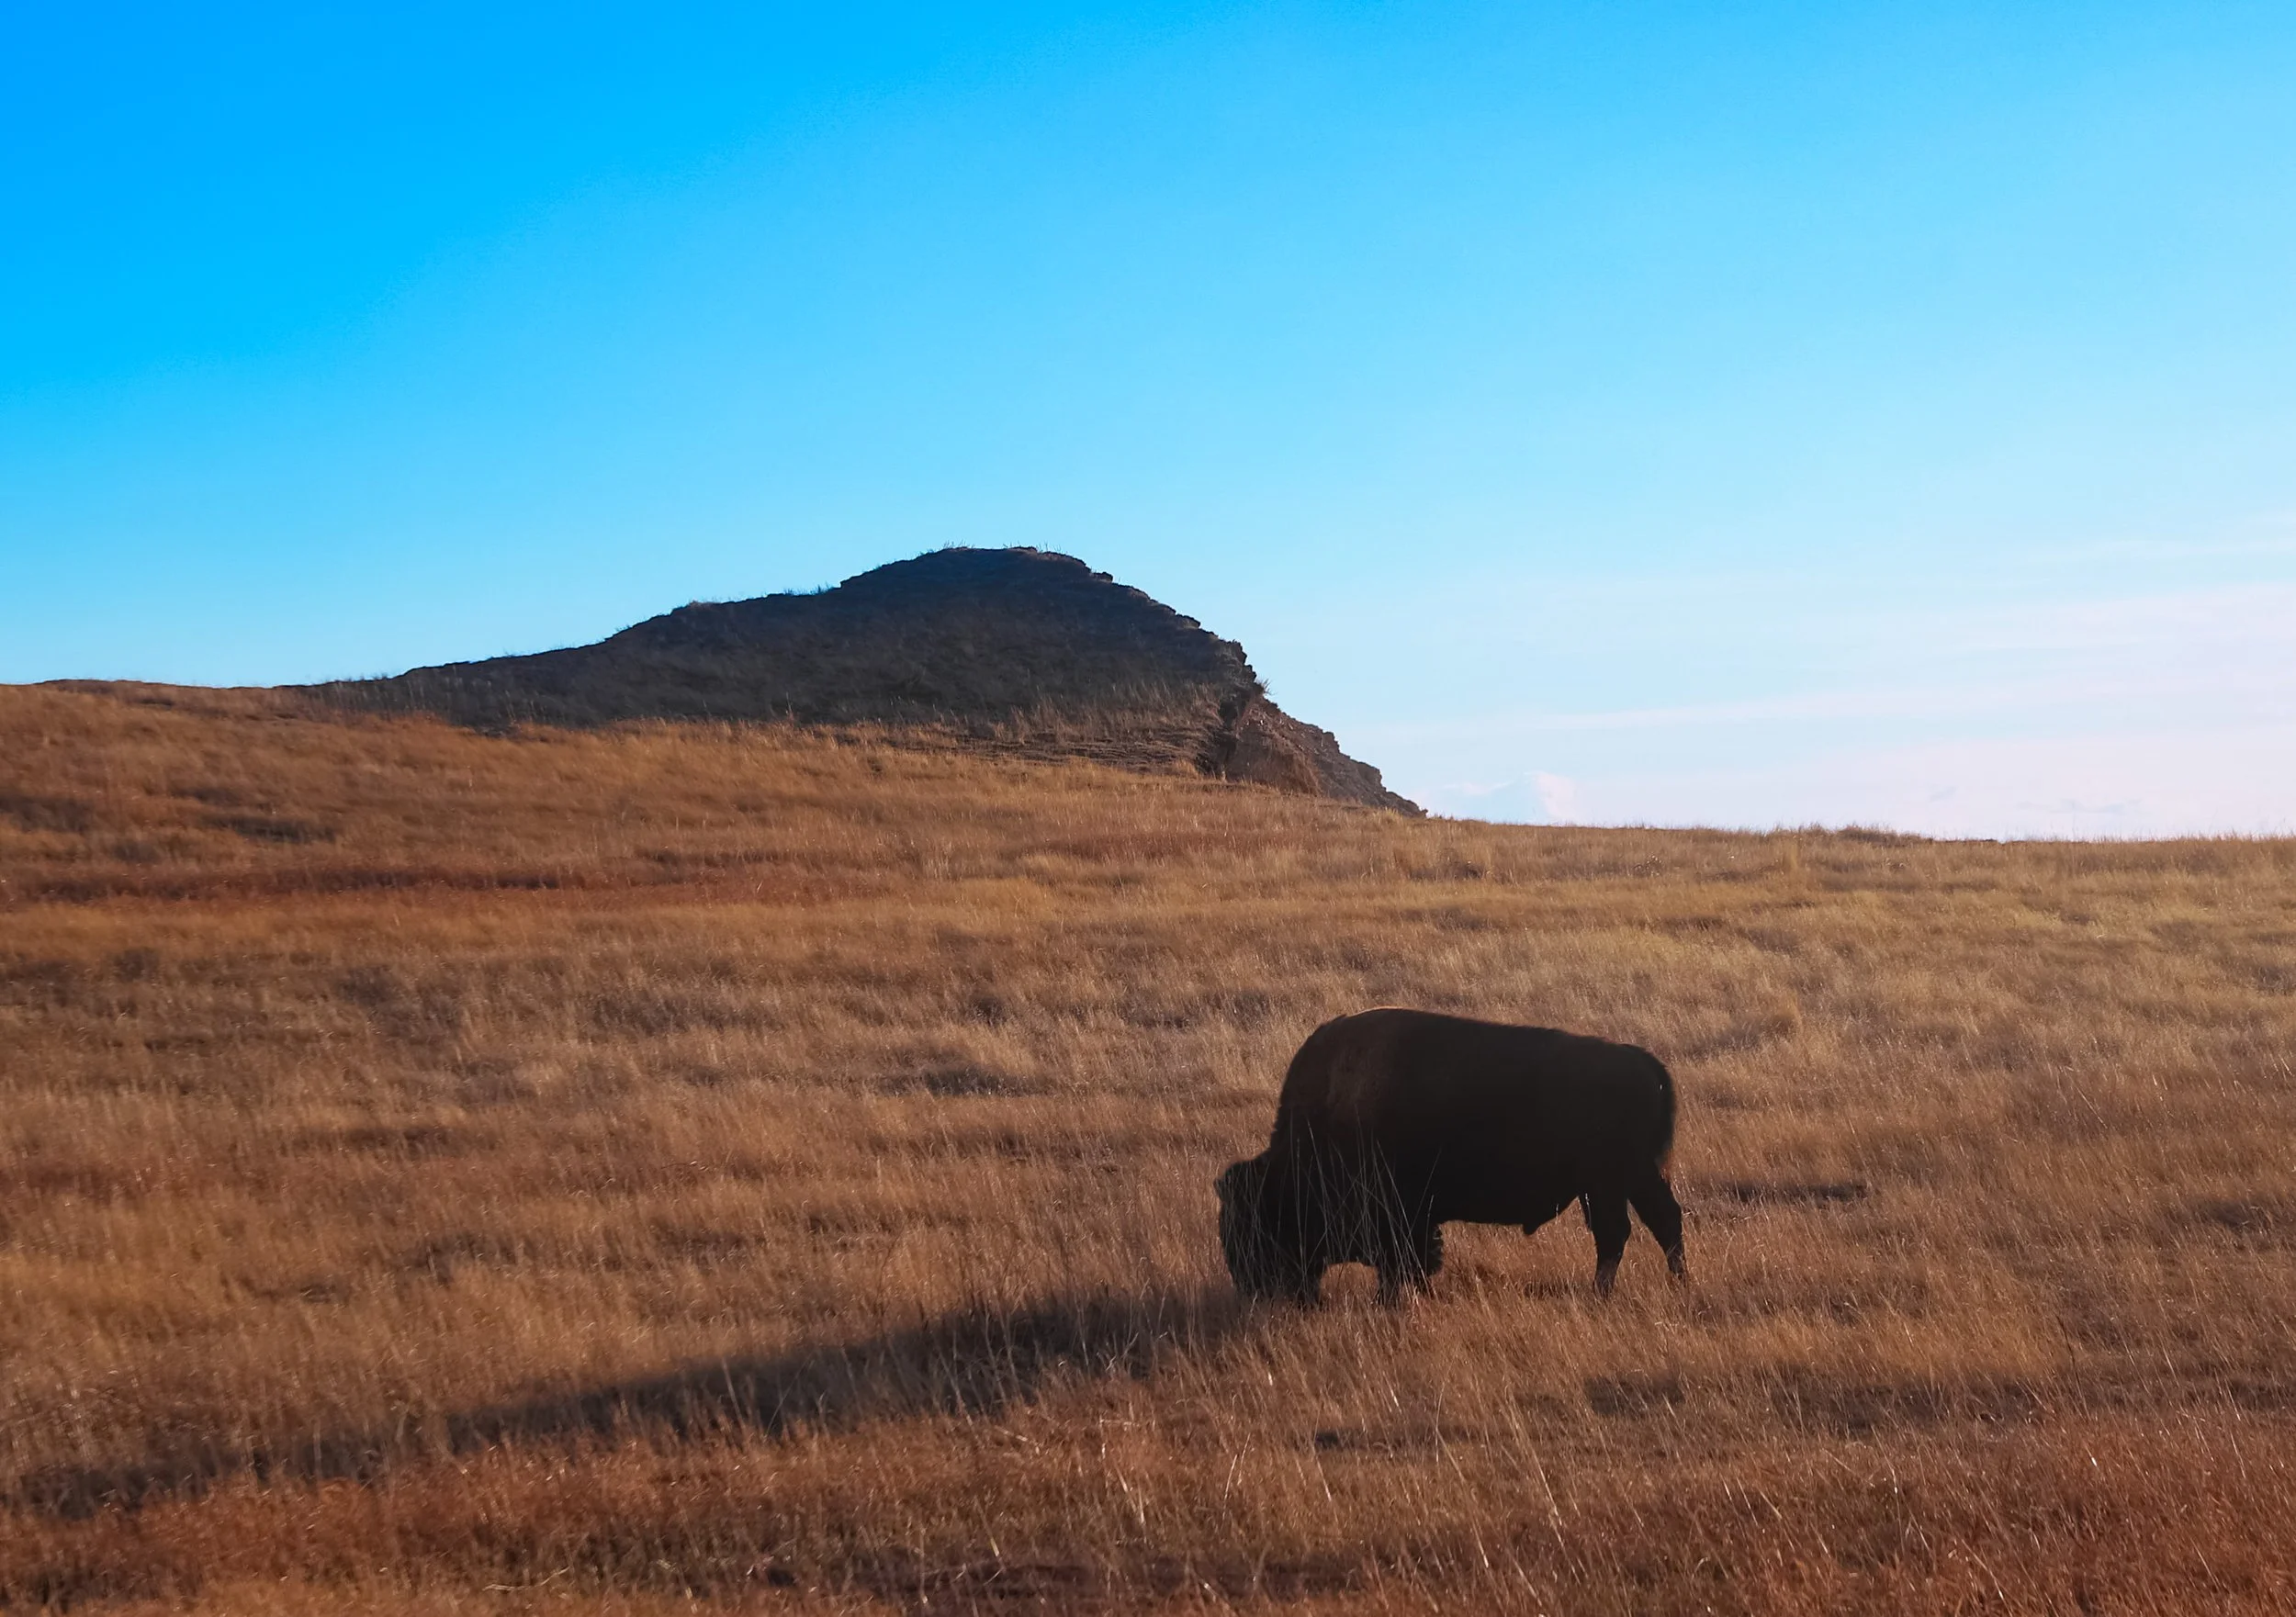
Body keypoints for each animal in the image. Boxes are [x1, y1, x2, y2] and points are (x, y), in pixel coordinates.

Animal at [1217, 1008, 1686, 1303]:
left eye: (1252, 1223)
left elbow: (1405, 1263)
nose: (1250, 1286)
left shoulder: (1402, 1218)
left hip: (1612, 1182)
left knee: (1624, 1233)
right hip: (1628, 1181)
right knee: (1656, 1224)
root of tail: (1644, 1063)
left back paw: (1608, 1293)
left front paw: (1391, 1300)